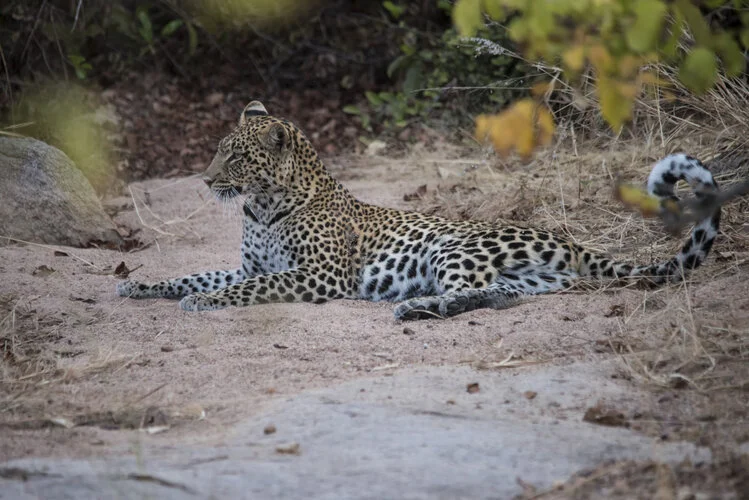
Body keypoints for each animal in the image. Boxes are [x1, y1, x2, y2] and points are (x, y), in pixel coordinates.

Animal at [115, 101, 720, 320]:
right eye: (220, 149)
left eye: (235, 157)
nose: (205, 179)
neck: (262, 206)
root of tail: (570, 242)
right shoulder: (249, 264)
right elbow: (194, 274)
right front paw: (141, 286)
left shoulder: (317, 276)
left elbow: (245, 288)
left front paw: (204, 302)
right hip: (530, 278)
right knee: (501, 296)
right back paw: (423, 306)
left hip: (453, 247)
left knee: (468, 291)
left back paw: (413, 306)